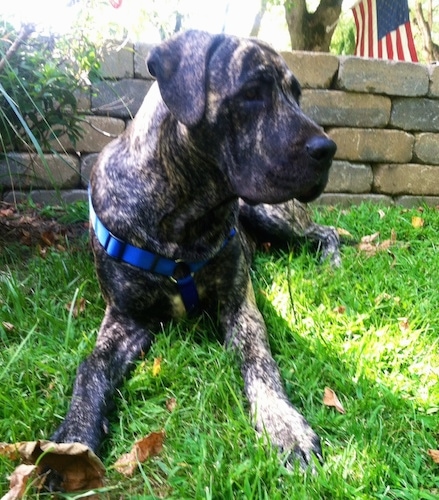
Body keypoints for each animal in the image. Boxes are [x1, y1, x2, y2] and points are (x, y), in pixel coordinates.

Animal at [50, 30, 340, 472]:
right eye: (252, 92)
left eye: (296, 94)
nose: (327, 148)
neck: (185, 214)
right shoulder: (126, 318)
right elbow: (90, 366)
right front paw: (74, 438)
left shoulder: (239, 306)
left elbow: (260, 360)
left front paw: (283, 424)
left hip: (270, 214)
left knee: (327, 231)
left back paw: (331, 261)